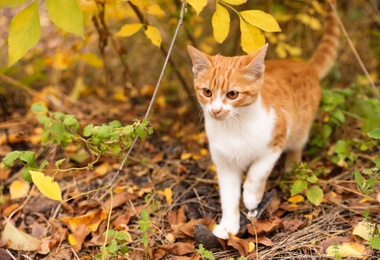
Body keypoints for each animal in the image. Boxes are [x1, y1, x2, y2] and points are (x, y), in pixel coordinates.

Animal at [187, 1, 338, 240]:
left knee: (297, 145)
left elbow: (256, 174)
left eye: (232, 94)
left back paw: (291, 166)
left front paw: (251, 198)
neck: (234, 128)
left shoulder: (275, 142)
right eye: (207, 92)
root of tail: (305, 66)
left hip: (299, 129)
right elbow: (228, 197)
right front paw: (228, 225)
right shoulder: (225, 164)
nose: (216, 110)